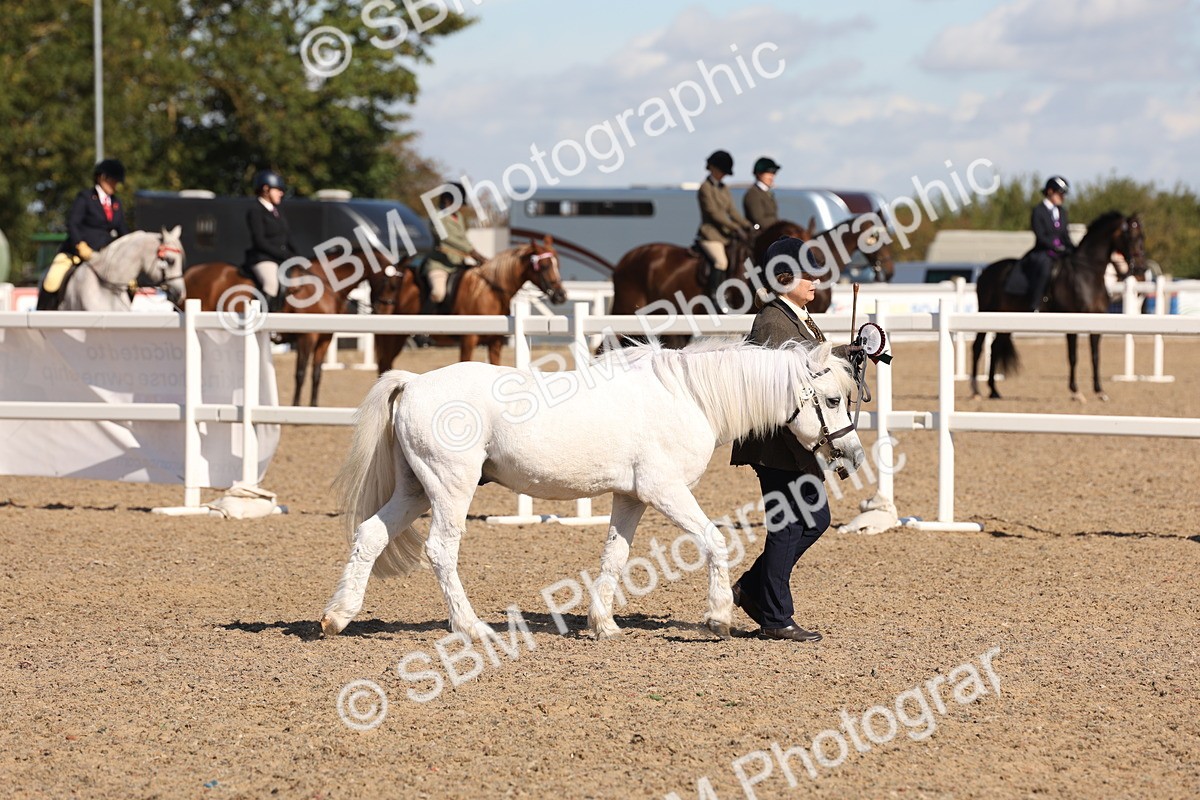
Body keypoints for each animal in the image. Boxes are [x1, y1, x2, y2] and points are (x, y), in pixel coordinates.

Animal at [318, 338, 865, 641]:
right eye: (832, 399)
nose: (853, 454)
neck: (688, 395)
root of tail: (413, 382)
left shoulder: (632, 497)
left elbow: (614, 557)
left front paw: (603, 625)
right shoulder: (665, 491)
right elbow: (714, 541)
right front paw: (718, 618)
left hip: (415, 490)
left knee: (370, 535)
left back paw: (337, 617)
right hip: (450, 489)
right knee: (440, 552)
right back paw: (471, 628)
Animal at [371, 238, 568, 372]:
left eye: (558, 264)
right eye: (544, 265)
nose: (560, 295)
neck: (488, 292)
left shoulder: (495, 342)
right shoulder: (468, 340)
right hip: (393, 336)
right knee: (384, 365)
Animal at [970, 212, 1147, 402]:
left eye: (1142, 237)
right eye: (1130, 236)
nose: (1141, 270)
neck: (1088, 275)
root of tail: (986, 272)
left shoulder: (1096, 323)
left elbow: (1095, 356)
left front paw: (1100, 391)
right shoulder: (1073, 322)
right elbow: (1073, 356)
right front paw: (1076, 391)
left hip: (1006, 318)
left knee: (995, 347)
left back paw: (994, 391)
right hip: (986, 313)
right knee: (978, 347)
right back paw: (976, 392)